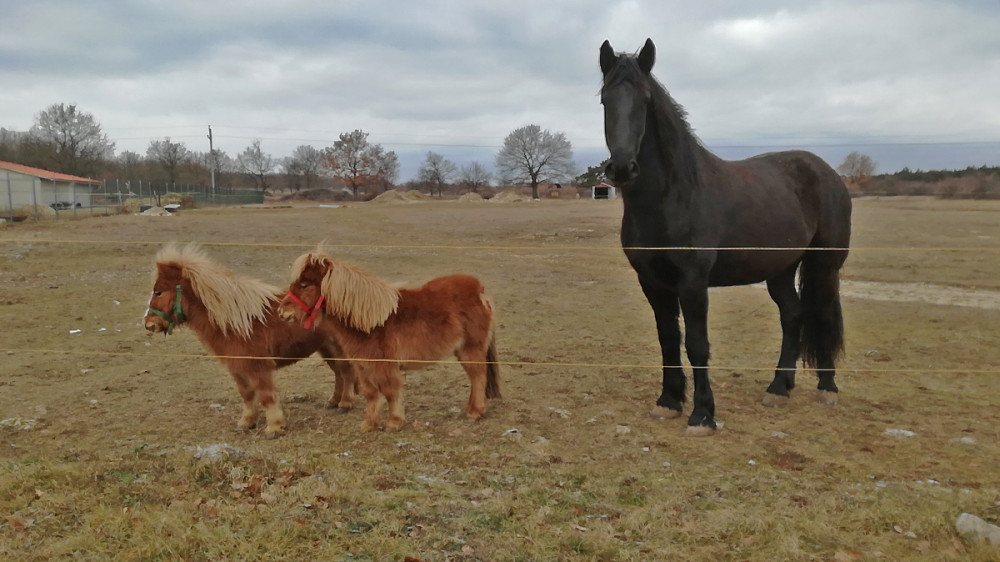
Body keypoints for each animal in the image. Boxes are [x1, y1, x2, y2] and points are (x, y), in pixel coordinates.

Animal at [143, 245, 358, 438]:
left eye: (159, 292)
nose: (148, 324)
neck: (236, 322)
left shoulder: (258, 368)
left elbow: (266, 395)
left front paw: (274, 428)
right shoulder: (237, 367)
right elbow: (246, 395)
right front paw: (246, 423)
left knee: (346, 371)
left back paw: (345, 403)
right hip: (326, 347)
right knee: (339, 372)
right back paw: (334, 401)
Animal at [276, 250, 498, 434]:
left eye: (304, 285)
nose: (281, 311)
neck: (369, 322)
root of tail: (480, 290)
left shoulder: (385, 366)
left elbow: (390, 391)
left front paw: (394, 423)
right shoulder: (363, 367)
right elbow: (371, 394)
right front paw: (369, 424)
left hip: (471, 348)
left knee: (478, 377)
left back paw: (475, 413)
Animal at [600, 39, 852, 434]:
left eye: (645, 99)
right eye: (605, 101)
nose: (623, 168)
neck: (675, 195)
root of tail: (828, 174)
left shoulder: (692, 281)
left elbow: (697, 343)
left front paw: (702, 414)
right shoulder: (652, 281)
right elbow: (667, 338)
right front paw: (668, 401)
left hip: (825, 265)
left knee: (822, 315)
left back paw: (827, 387)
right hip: (780, 269)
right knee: (792, 315)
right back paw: (779, 387)